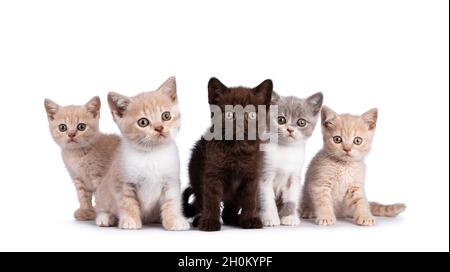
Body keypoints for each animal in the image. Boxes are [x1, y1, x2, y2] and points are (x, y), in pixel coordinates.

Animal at [96, 76, 191, 230]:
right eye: (143, 122)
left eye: (166, 116)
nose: (159, 128)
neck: (152, 153)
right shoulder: (124, 182)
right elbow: (127, 202)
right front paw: (130, 220)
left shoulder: (171, 181)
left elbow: (171, 202)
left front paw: (174, 220)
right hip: (103, 191)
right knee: (100, 207)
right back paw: (105, 217)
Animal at [183, 76, 274, 232]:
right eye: (229, 114)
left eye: (252, 114)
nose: (240, 123)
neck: (237, 149)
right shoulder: (212, 174)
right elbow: (211, 199)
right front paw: (210, 222)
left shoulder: (252, 176)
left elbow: (250, 198)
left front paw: (250, 219)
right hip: (195, 174)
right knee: (201, 202)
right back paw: (200, 219)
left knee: (228, 212)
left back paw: (237, 219)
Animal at [260, 90, 324, 226]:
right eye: (281, 119)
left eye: (301, 122)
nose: (290, 129)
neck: (286, 149)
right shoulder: (264, 174)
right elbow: (267, 198)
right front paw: (270, 218)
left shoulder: (295, 177)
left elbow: (291, 198)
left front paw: (289, 217)